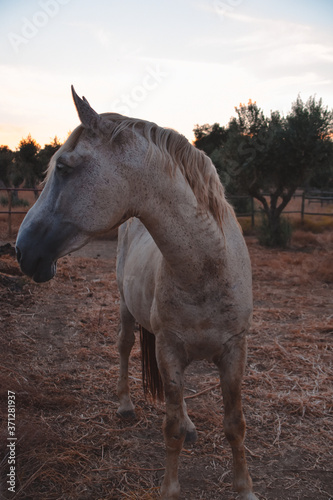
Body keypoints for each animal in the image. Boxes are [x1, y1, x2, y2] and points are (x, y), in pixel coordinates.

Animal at [16, 87, 256, 500]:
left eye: (63, 168)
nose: (21, 251)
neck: (207, 267)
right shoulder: (169, 349)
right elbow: (171, 430)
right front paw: (170, 489)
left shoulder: (233, 350)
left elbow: (235, 424)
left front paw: (245, 489)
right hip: (128, 311)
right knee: (125, 347)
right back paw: (126, 405)